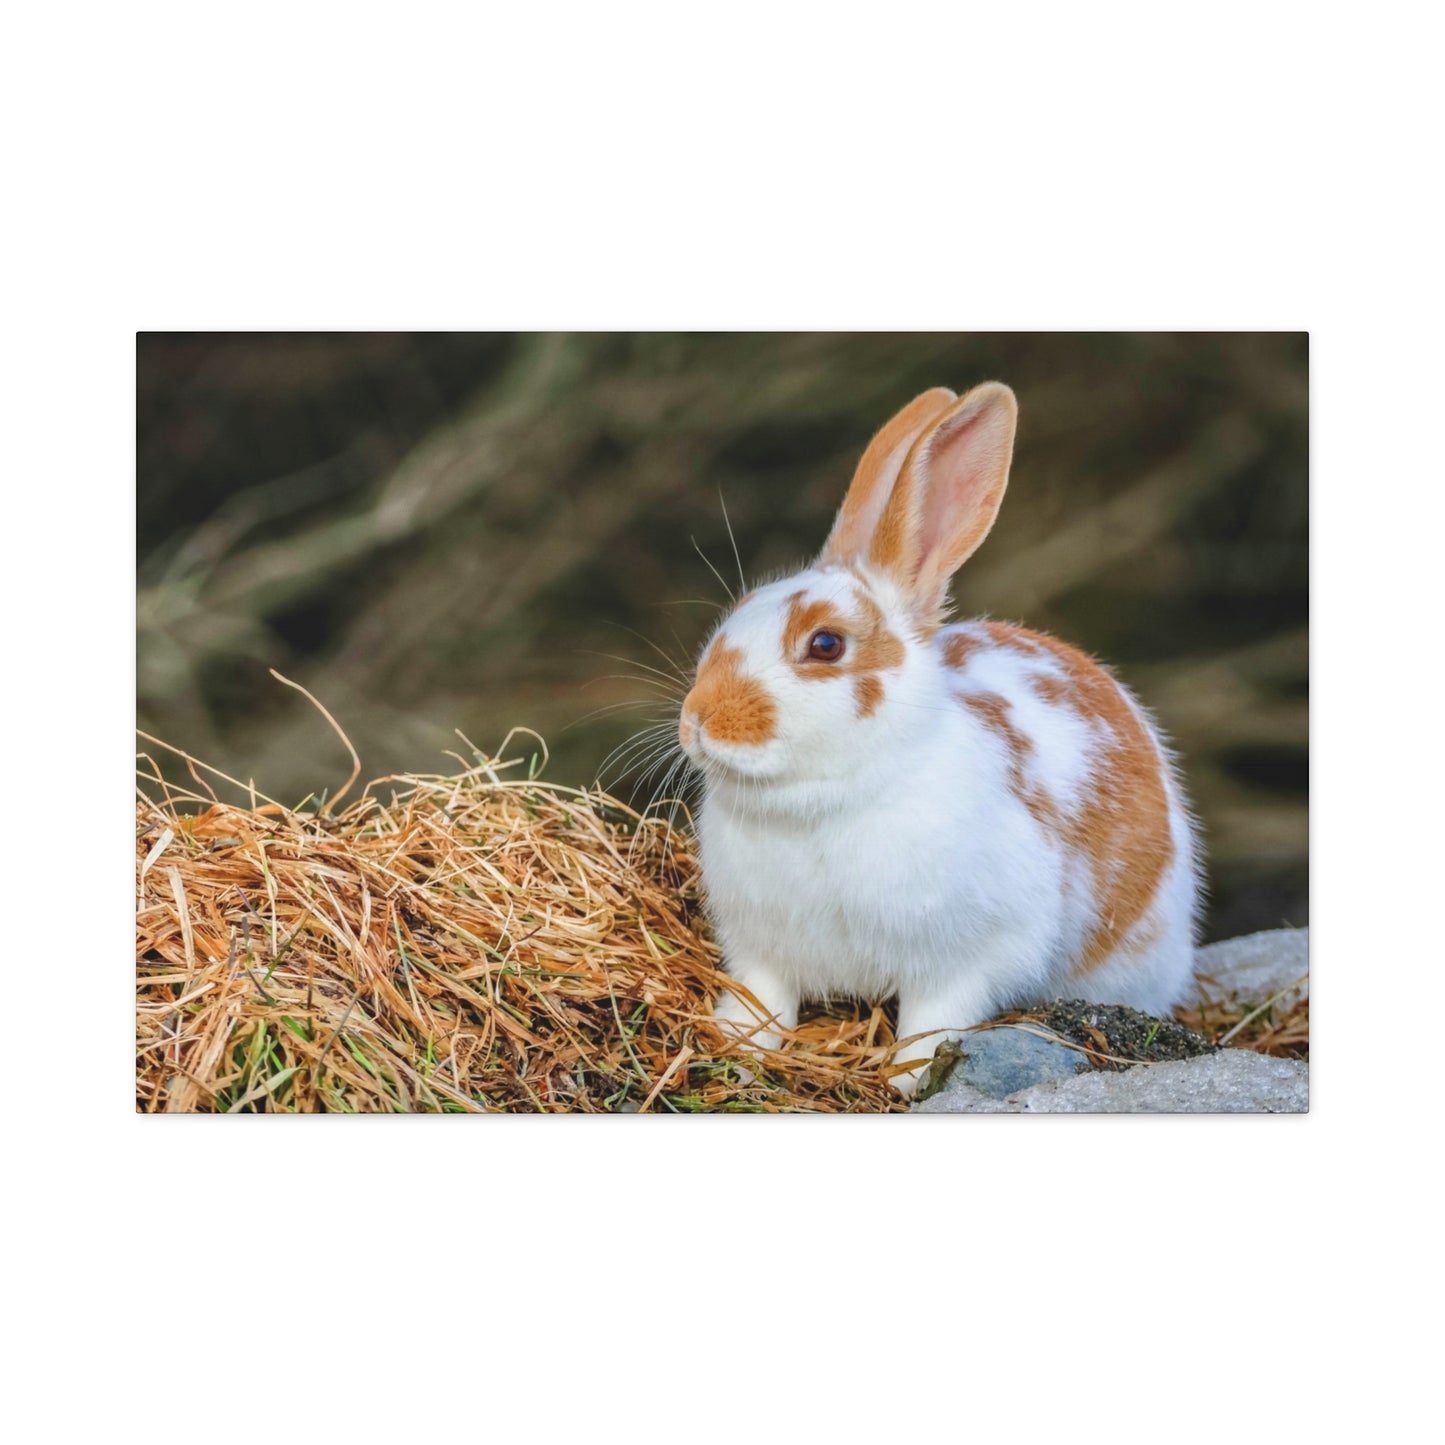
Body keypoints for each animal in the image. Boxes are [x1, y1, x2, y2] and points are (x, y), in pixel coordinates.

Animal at [676, 382, 1201, 1096]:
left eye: (825, 644)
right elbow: (762, 1003)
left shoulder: (967, 961)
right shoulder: (762, 952)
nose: (697, 721)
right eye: (736, 613)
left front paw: (906, 1080)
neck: (818, 807)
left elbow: (933, 1019)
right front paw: (735, 1045)